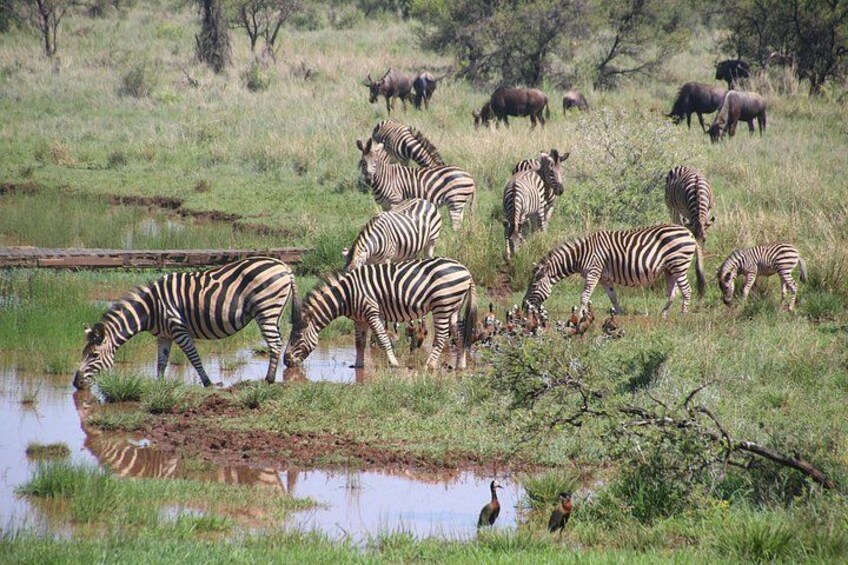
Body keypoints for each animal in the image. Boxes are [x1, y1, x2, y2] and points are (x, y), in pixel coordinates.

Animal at [73, 257, 296, 388]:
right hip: (274, 312)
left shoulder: (178, 328)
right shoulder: (164, 335)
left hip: (266, 309)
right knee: (278, 340)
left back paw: (269, 380)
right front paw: (159, 385)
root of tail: (283, 265)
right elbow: (161, 362)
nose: (75, 383)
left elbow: (193, 357)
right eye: (83, 353)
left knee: (274, 344)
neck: (151, 309)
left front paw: (207, 383)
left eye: (93, 355)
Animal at [283, 257, 477, 370]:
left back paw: (429, 365)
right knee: (459, 335)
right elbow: (359, 343)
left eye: (297, 336)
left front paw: (394, 363)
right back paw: (461, 365)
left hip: (442, 305)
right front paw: (358, 365)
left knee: (442, 336)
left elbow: (383, 340)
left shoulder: (372, 312)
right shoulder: (359, 319)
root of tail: (466, 270)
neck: (346, 295)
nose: (286, 362)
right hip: (453, 307)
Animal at [523, 224, 705, 319]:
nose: (524, 306)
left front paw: (580, 314)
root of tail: (689, 233)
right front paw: (619, 313)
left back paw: (683, 314)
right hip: (669, 269)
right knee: (672, 293)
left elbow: (584, 296)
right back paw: (664, 314)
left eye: (534, 285)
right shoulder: (604, 278)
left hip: (679, 264)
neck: (581, 255)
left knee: (687, 291)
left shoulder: (593, 272)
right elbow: (613, 296)